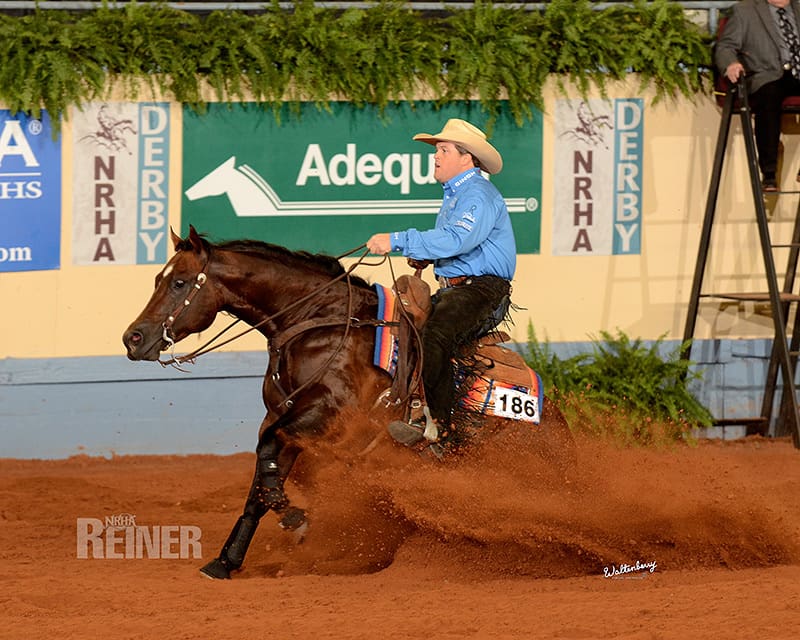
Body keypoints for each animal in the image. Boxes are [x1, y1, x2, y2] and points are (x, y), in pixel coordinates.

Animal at [122, 226, 575, 579]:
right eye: (158, 279)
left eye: (180, 282)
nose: (133, 338)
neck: (317, 321)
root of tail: (559, 425)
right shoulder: (284, 418)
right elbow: (263, 477)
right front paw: (226, 560)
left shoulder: (328, 417)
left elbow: (267, 451)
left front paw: (296, 519)